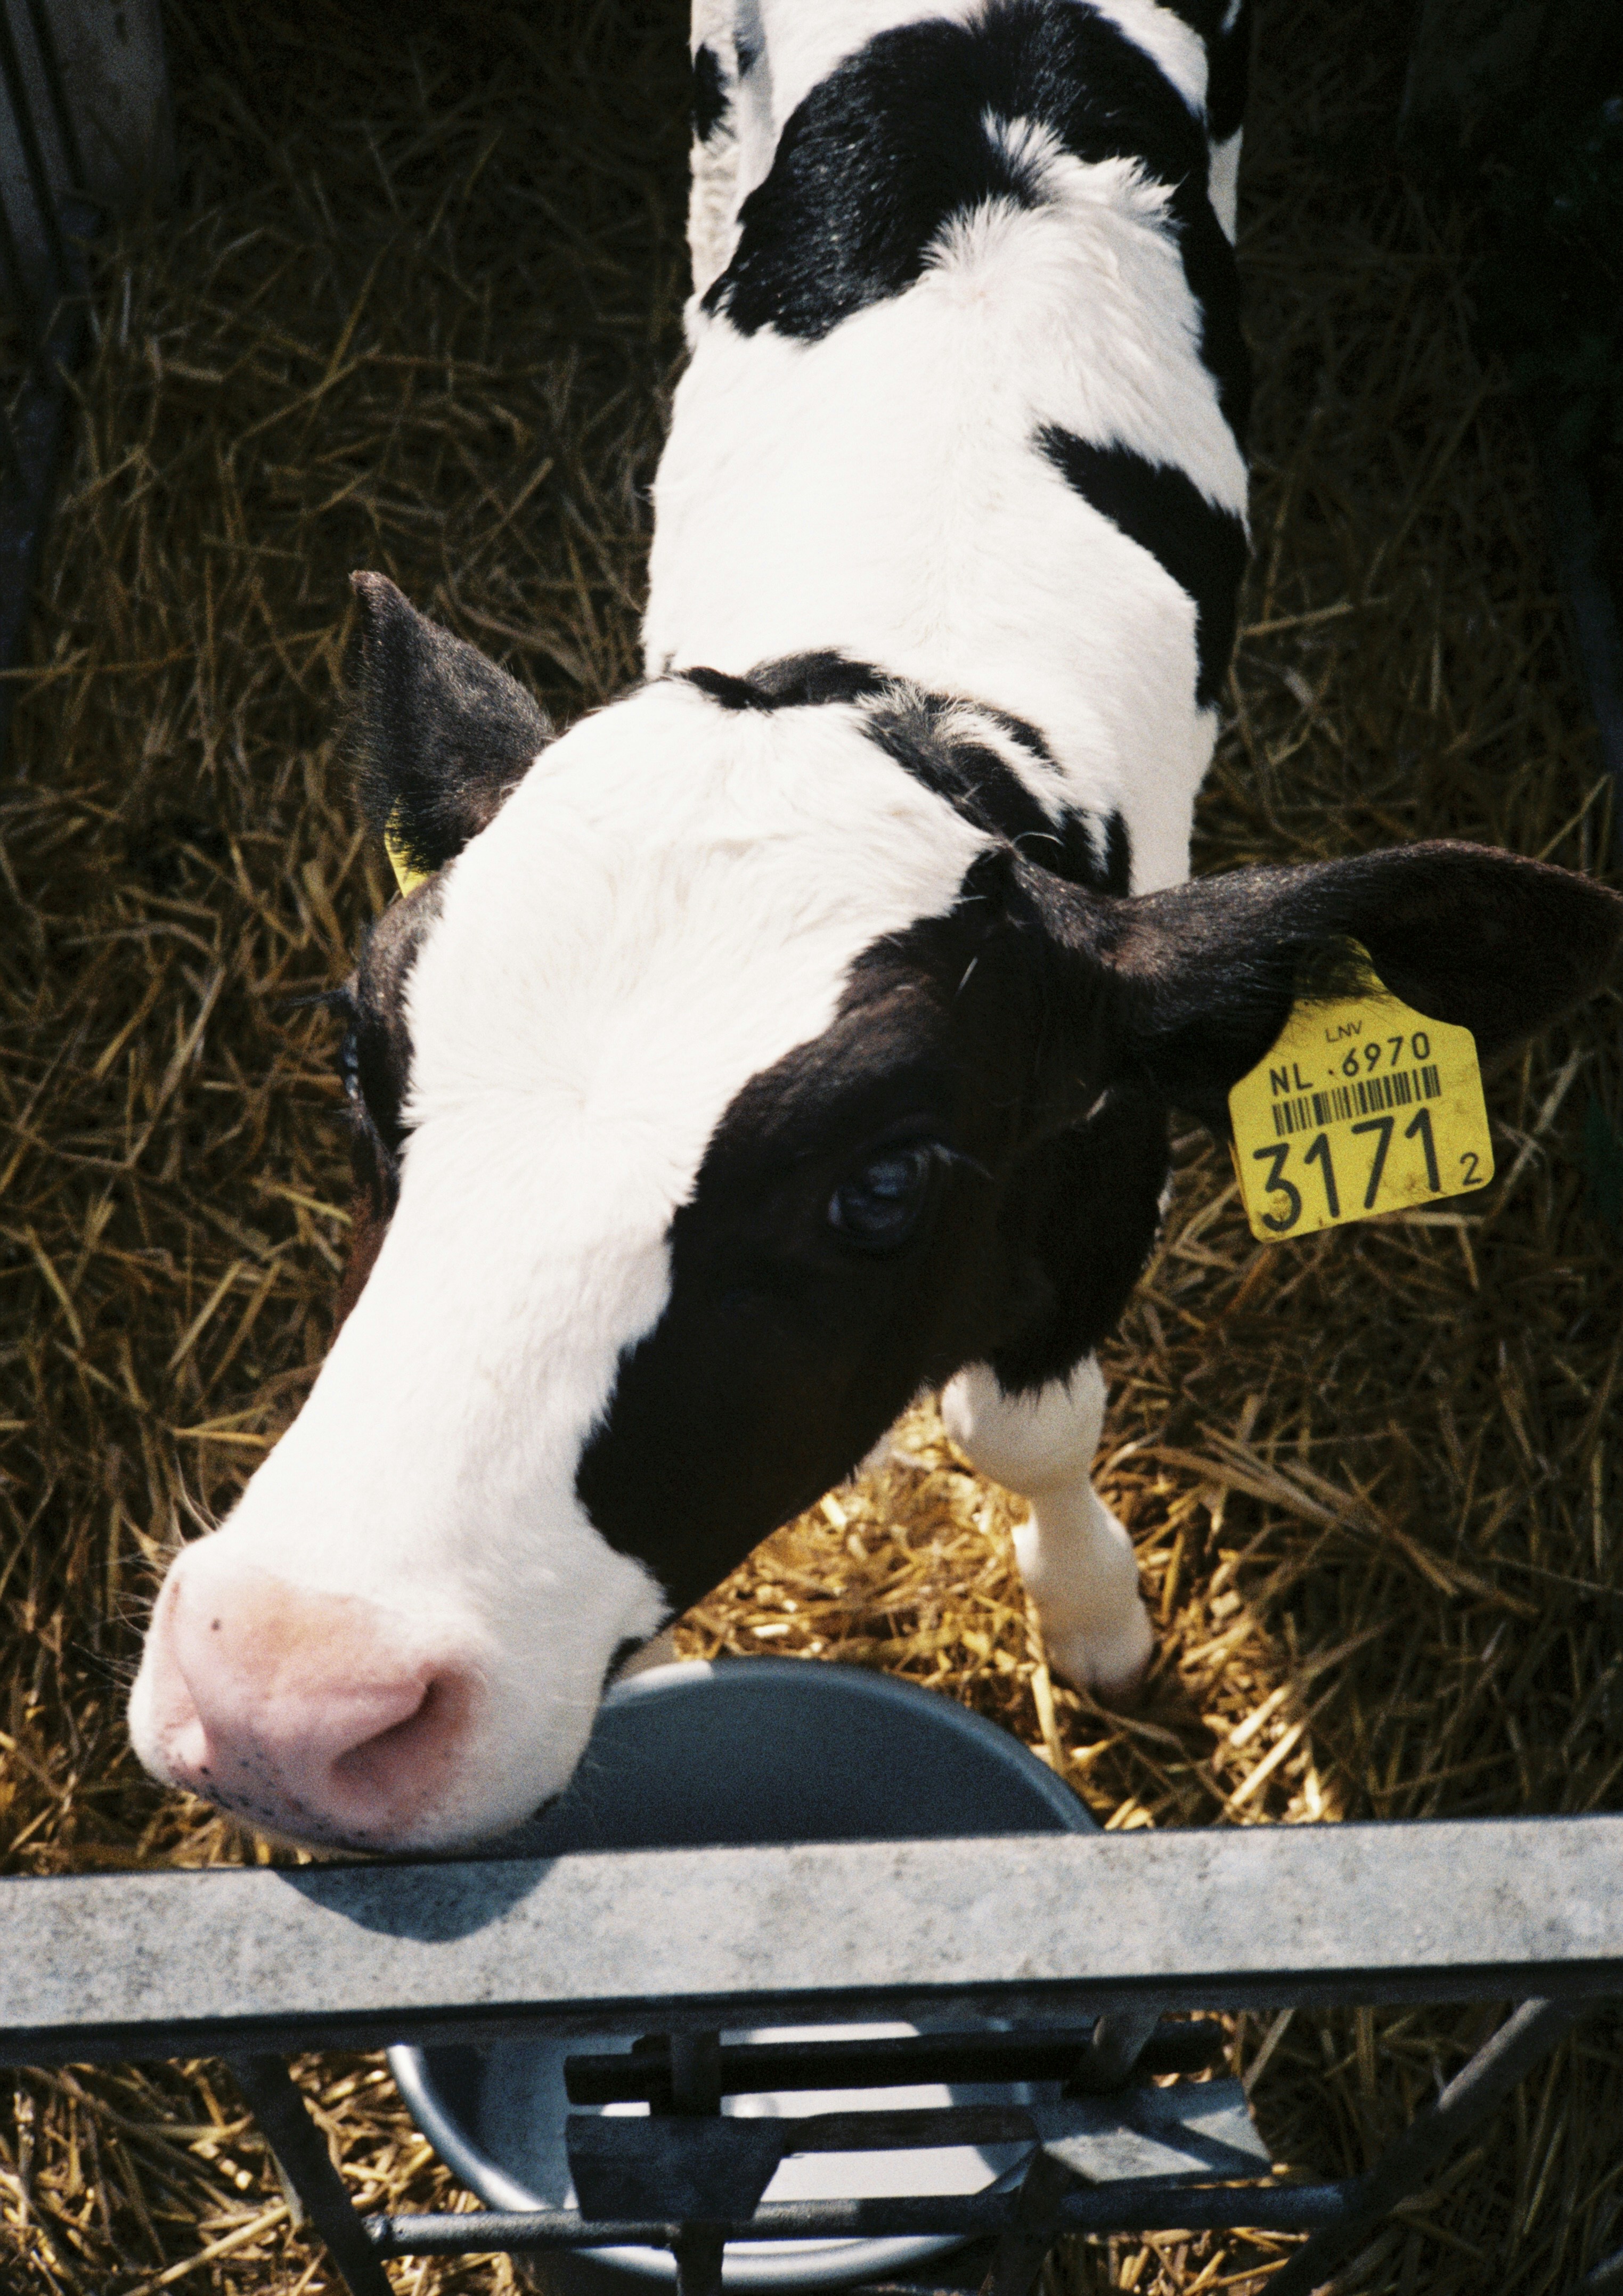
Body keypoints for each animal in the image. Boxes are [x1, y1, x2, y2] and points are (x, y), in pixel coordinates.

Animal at [129, 0, 1620, 1854]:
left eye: (885, 1179)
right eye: (359, 1061)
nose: (280, 1687)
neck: (892, 670)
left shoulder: (1104, 1155)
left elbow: (1030, 1425)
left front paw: (1094, 1618)